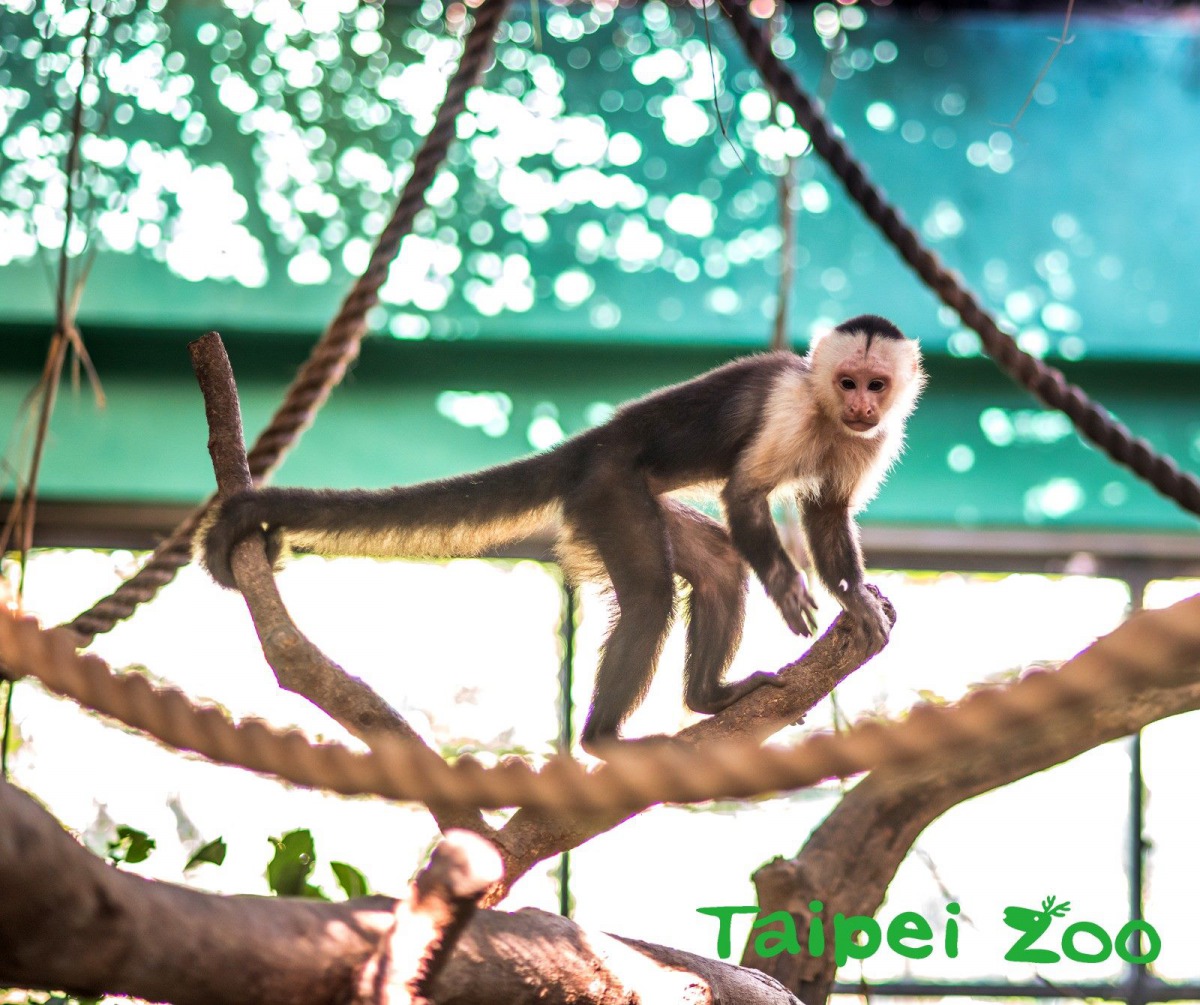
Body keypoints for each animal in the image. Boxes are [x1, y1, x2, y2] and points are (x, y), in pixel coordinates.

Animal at [201, 319, 921, 753]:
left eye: (875, 385)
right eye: (847, 381)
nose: (861, 404)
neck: (826, 413)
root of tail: (591, 444)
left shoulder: (872, 439)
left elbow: (828, 513)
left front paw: (855, 598)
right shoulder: (790, 410)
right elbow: (743, 493)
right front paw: (787, 585)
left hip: (612, 500)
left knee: (716, 564)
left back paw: (707, 696)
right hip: (609, 490)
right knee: (651, 594)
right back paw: (604, 740)